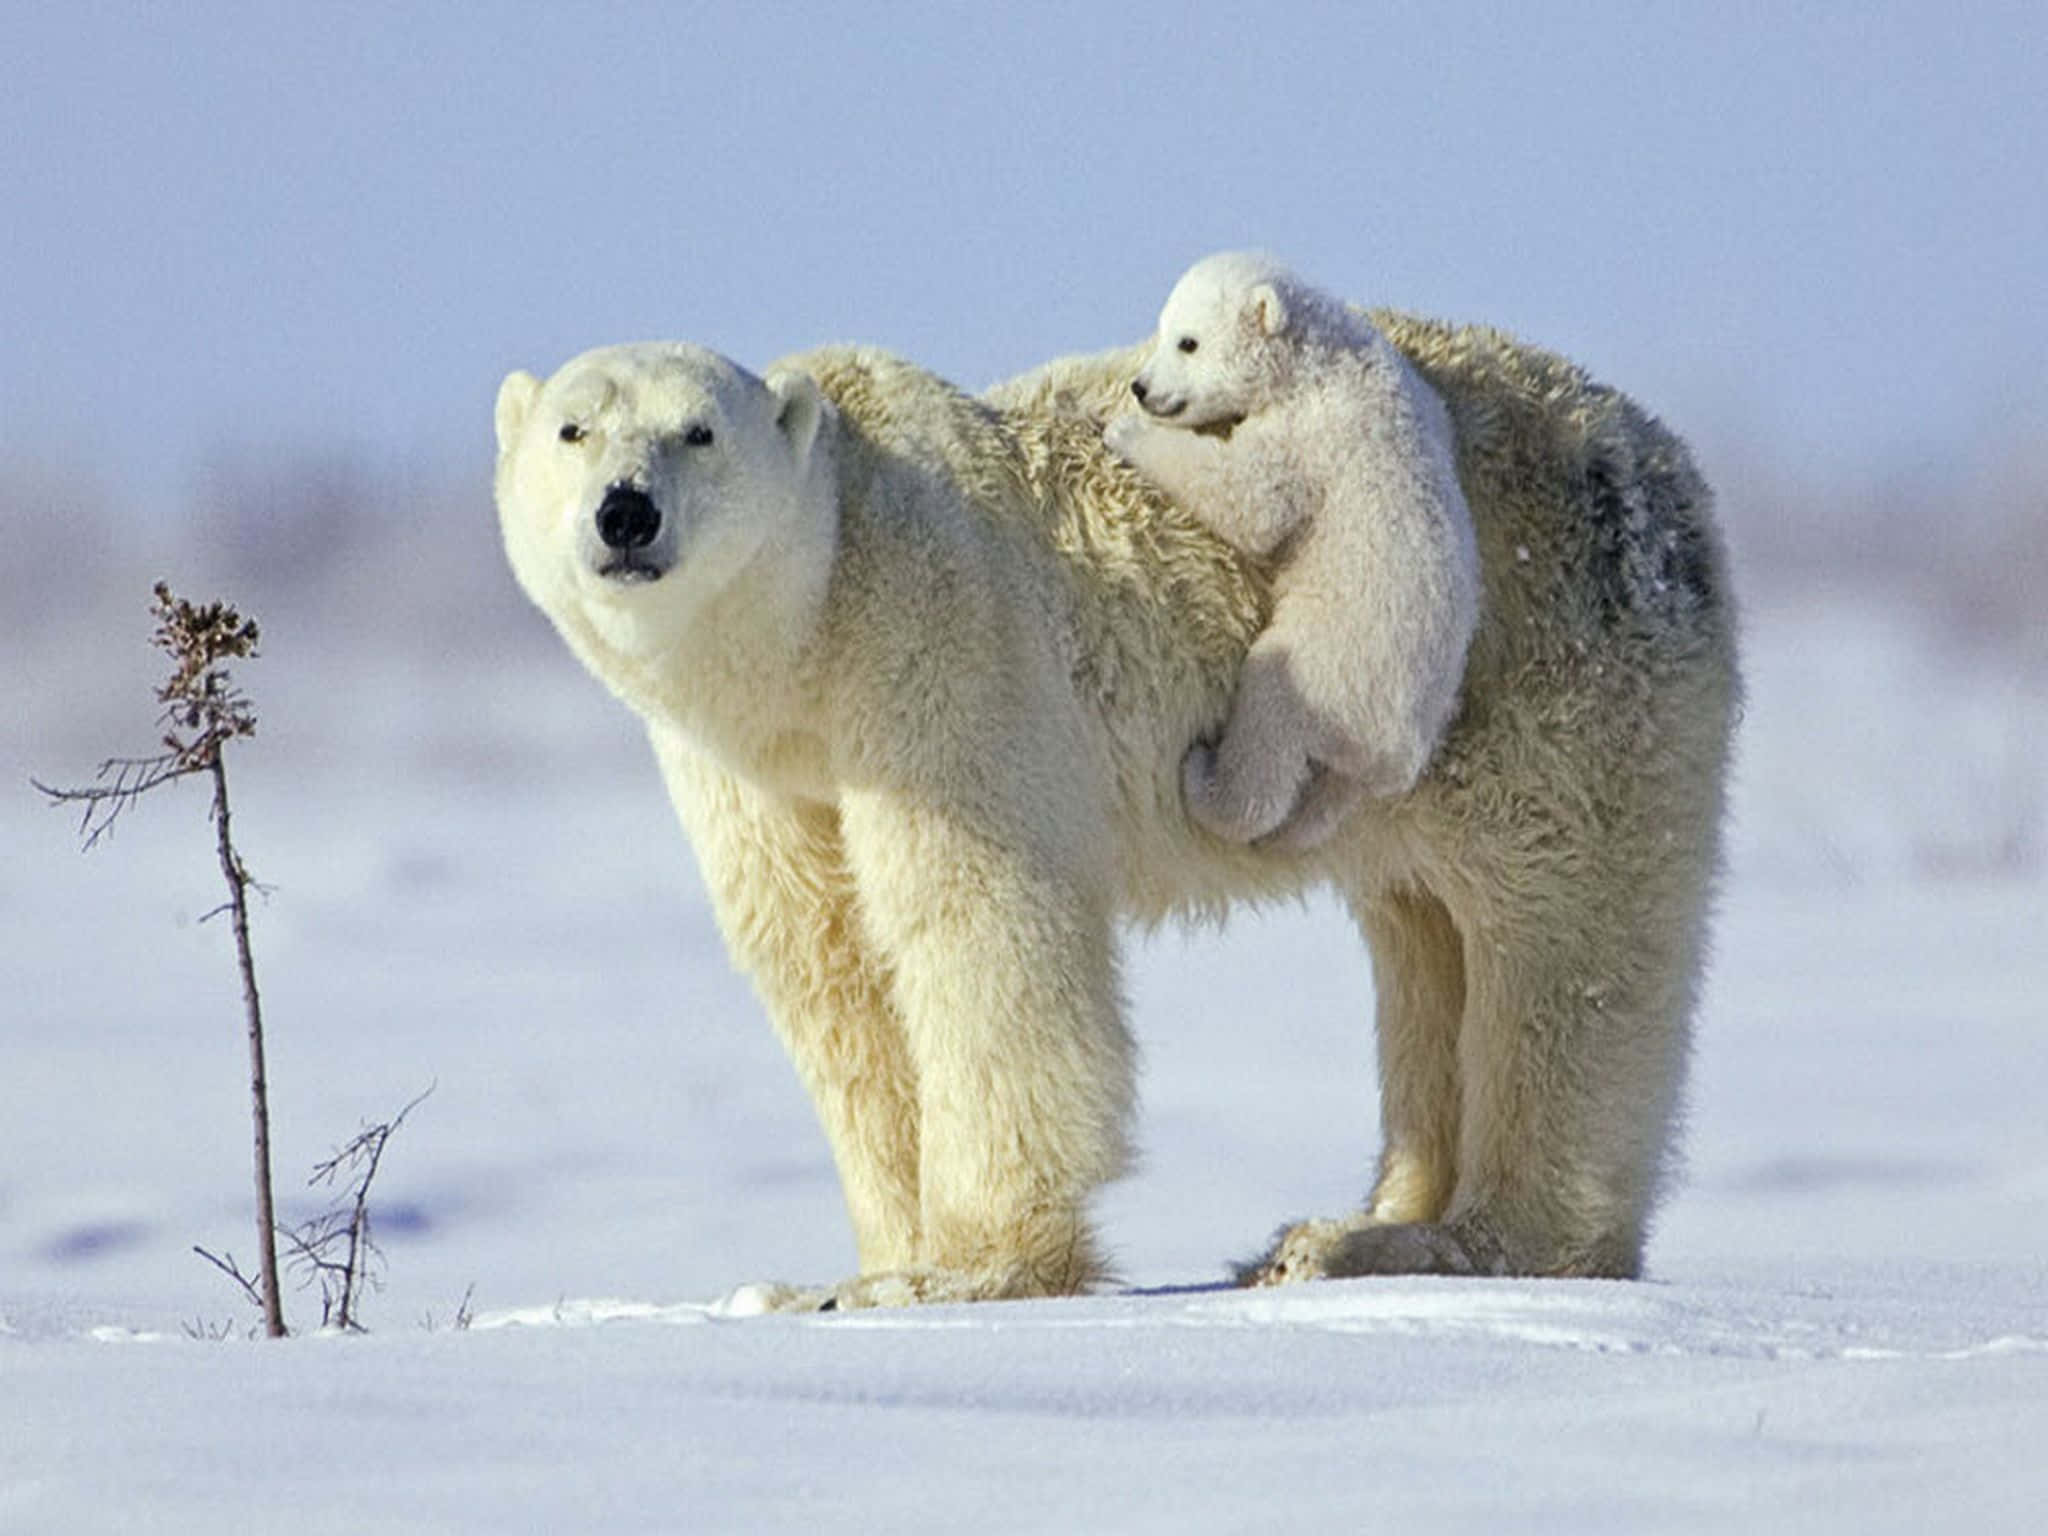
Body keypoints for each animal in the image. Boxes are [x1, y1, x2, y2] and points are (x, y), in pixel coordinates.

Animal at [493, 313, 1738, 1309]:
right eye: (572, 431)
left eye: (698, 431)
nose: (625, 514)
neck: (814, 623)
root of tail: (1661, 458)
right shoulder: (754, 775)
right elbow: (828, 970)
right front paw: (862, 1264)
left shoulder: (939, 647)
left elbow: (976, 933)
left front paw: (963, 1272)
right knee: (1422, 934)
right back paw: (1345, 1228)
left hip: (1547, 667)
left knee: (1558, 945)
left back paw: (1464, 1239)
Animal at [1103, 251, 1480, 851]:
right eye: (1162, 330)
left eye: (1188, 342)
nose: (1141, 387)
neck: (1319, 360)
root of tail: (1397, 753)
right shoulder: (1416, 390)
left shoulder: (1312, 431)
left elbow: (1253, 498)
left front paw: (1126, 432)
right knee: (1328, 798)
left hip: (1330, 670)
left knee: (1268, 721)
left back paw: (1206, 780)